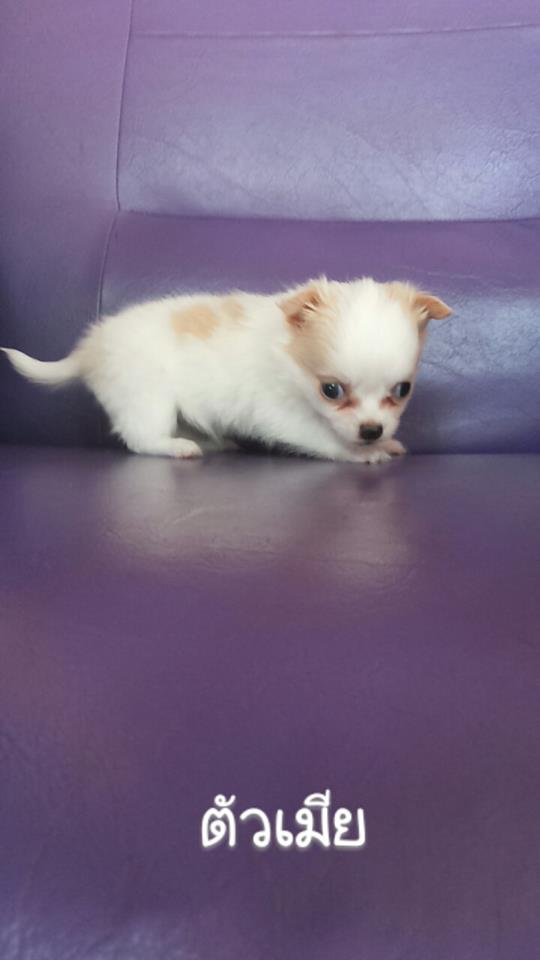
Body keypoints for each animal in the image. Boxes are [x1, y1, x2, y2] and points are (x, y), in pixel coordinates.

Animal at [1, 277, 451, 463]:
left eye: (403, 389)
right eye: (332, 391)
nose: (372, 430)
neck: (288, 355)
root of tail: (89, 349)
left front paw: (383, 443)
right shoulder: (283, 415)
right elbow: (324, 437)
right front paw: (366, 453)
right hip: (147, 398)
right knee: (141, 438)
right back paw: (176, 448)